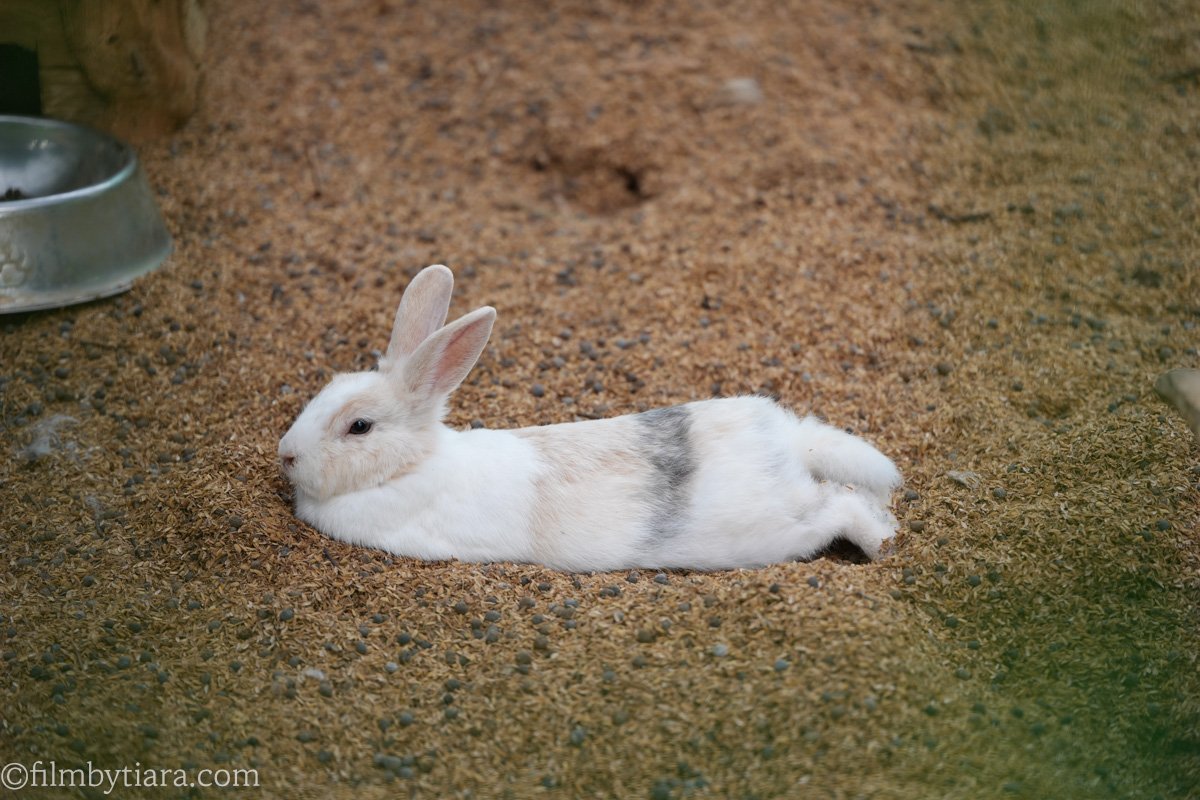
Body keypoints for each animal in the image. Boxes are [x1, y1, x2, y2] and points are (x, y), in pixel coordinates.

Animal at [278, 264, 902, 571]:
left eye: (359, 427)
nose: (286, 455)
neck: (413, 465)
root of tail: (790, 441)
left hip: (783, 529)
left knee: (844, 506)